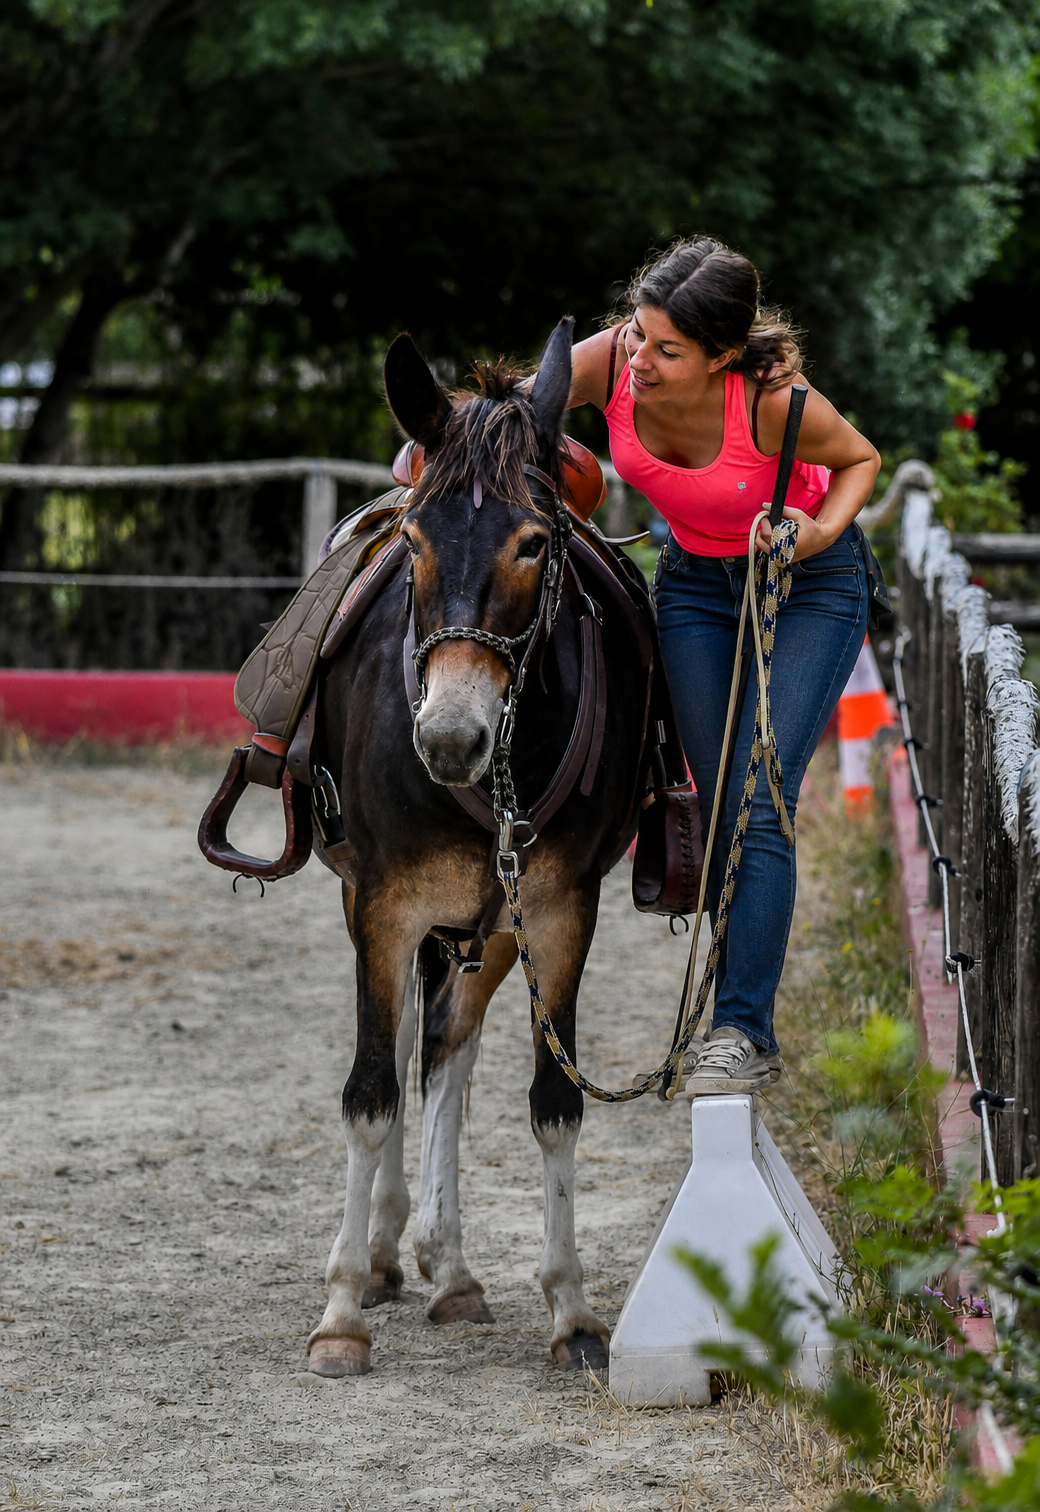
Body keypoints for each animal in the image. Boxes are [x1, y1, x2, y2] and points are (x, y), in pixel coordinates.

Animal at [306, 318, 653, 1378]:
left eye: (534, 542)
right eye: (415, 542)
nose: (450, 737)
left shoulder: (558, 910)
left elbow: (554, 1103)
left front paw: (571, 1311)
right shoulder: (381, 905)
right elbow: (368, 1094)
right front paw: (340, 1313)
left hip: (490, 925)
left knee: (447, 1056)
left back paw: (447, 1268)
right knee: (407, 1054)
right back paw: (384, 1255)